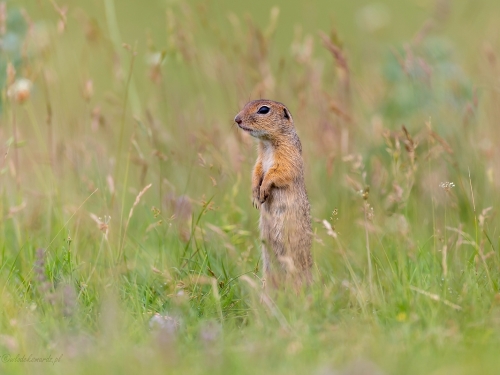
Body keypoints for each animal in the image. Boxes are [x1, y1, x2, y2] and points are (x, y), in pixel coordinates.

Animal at [234, 100, 312, 288]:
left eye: (263, 109)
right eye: (246, 103)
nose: (236, 119)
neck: (267, 143)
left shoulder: (288, 157)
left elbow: (279, 173)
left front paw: (263, 190)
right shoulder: (259, 160)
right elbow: (256, 171)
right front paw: (255, 195)